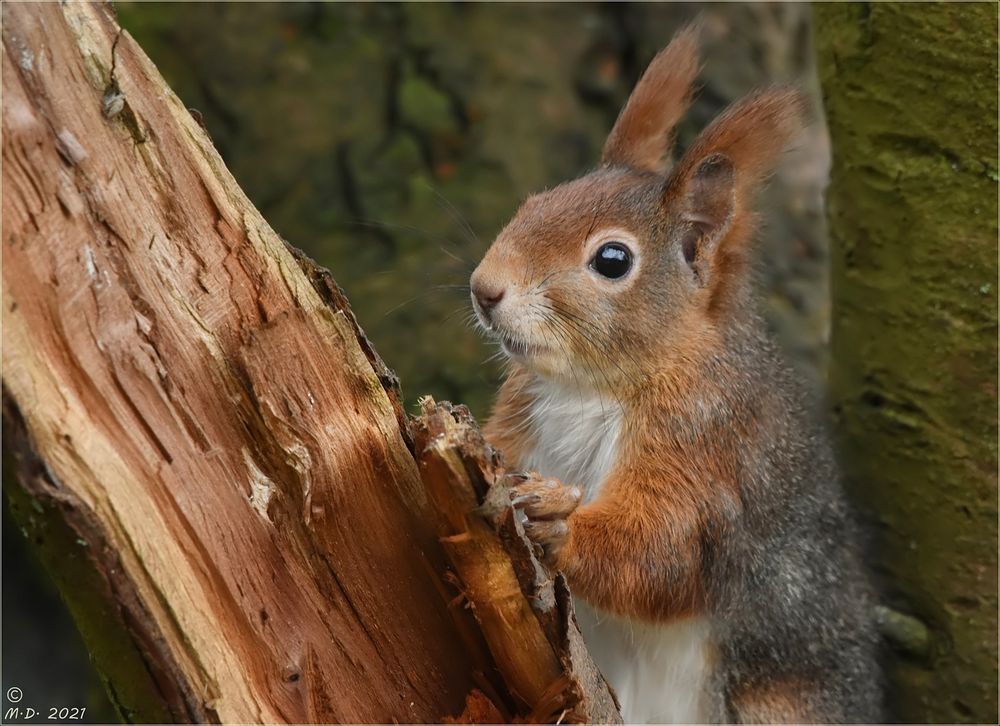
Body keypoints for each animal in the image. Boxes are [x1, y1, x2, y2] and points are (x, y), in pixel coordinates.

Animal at [468, 25, 884, 724]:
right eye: (534, 202)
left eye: (612, 260)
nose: (483, 288)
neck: (590, 384)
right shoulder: (525, 412)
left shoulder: (706, 447)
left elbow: (661, 555)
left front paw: (558, 523)